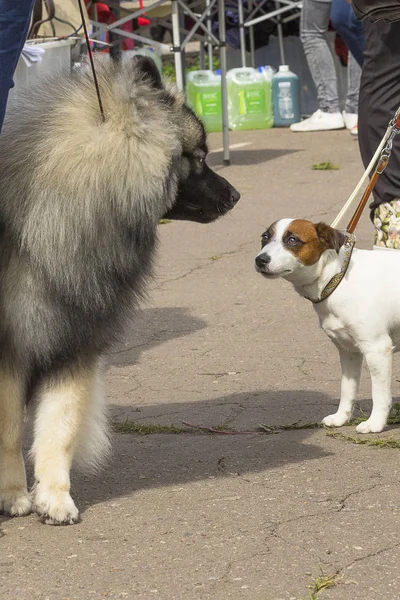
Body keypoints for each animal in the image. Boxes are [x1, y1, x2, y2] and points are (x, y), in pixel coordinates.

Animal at [0, 57, 239, 524]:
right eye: (199, 158)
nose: (236, 195)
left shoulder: (73, 344)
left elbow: (58, 428)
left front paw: (55, 498)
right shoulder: (10, 350)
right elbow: (7, 432)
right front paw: (12, 495)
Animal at [255, 218, 400, 434]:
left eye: (292, 240)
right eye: (265, 237)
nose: (260, 260)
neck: (337, 278)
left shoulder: (377, 349)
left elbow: (380, 394)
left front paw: (375, 423)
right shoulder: (348, 351)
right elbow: (347, 389)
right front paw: (341, 418)